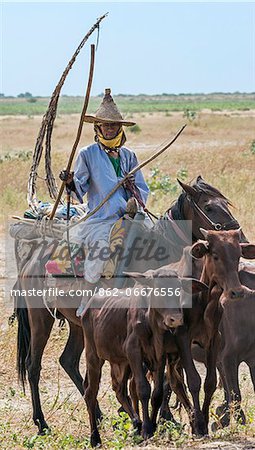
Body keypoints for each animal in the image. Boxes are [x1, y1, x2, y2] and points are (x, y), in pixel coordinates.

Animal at [15, 174, 245, 434]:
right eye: (209, 207)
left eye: (225, 203)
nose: (240, 237)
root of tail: (32, 257)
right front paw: (155, 418)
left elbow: (163, 374)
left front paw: (164, 418)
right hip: (39, 318)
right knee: (33, 366)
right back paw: (41, 422)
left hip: (77, 324)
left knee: (69, 361)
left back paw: (100, 414)